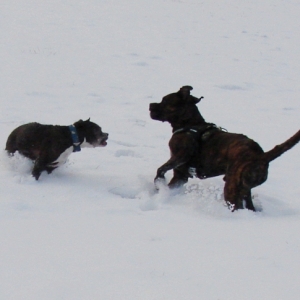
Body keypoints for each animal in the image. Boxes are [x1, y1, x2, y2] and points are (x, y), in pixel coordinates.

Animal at [150, 84, 300, 211]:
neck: (189, 124)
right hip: (244, 190)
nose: (150, 105)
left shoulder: (180, 156)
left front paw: (159, 184)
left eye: (164, 101)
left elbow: (161, 169)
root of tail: (261, 156)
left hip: (231, 188)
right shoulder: (180, 175)